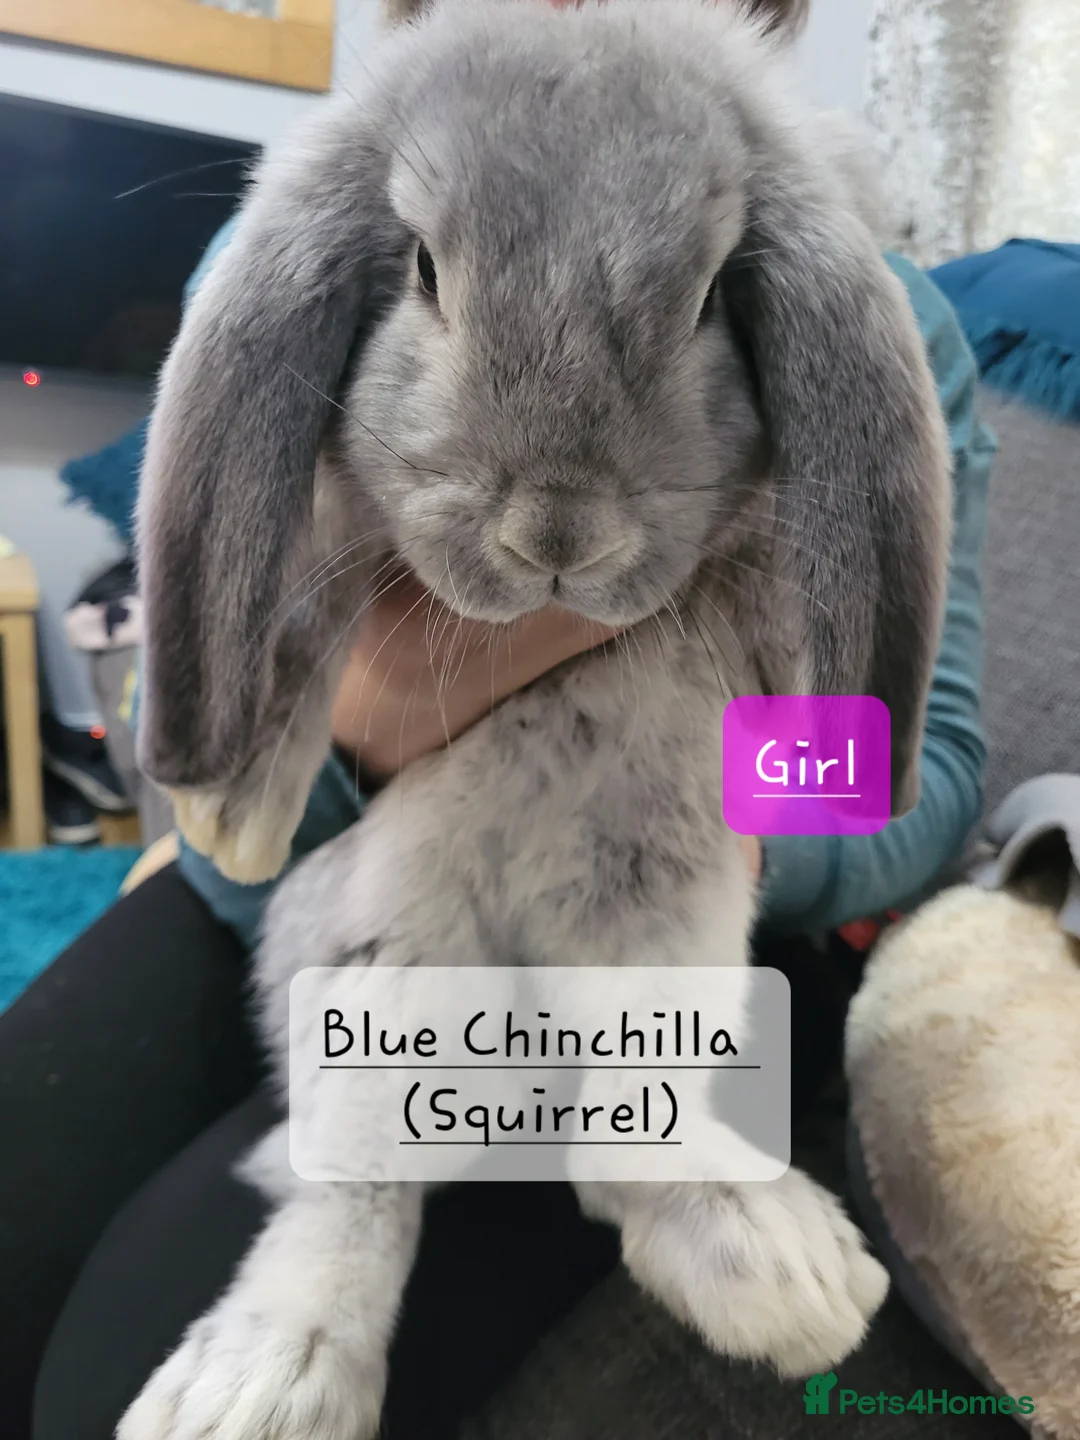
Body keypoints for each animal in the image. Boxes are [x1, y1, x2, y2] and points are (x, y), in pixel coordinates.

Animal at [122, 0, 951, 1435]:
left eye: (708, 296)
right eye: (422, 270)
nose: (556, 536)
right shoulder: (330, 535)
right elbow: (297, 600)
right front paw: (231, 813)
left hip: (664, 936)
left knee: (615, 1149)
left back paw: (775, 1267)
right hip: (380, 974)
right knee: (355, 1196)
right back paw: (265, 1380)